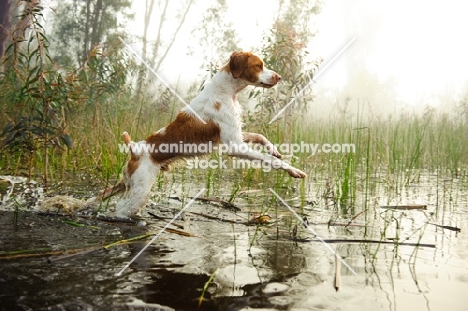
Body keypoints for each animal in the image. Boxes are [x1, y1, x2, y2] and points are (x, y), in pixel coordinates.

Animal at [98, 51, 308, 217]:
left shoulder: (233, 137)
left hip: (126, 184)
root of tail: (135, 149)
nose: (279, 77)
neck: (224, 92)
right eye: (259, 65)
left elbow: (260, 137)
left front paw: (274, 150)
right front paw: (293, 170)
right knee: (121, 210)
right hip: (139, 194)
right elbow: (270, 160)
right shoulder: (234, 146)